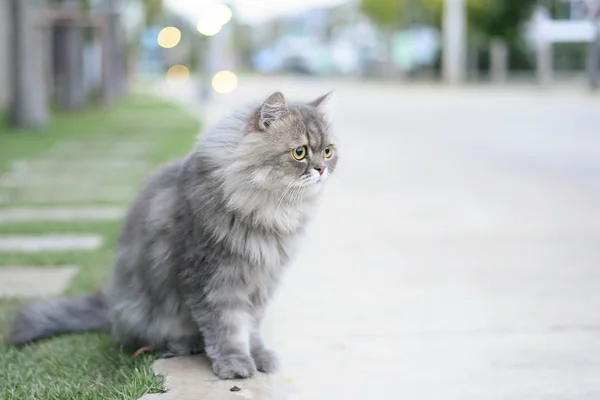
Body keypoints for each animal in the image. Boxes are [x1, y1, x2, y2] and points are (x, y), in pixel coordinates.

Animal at [7, 90, 338, 378]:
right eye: (299, 152)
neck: (266, 211)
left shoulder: (261, 281)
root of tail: (111, 304)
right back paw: (185, 343)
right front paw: (235, 363)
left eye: (328, 151)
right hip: (146, 312)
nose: (322, 169)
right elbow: (229, 327)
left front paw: (259, 356)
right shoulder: (212, 280)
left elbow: (252, 327)